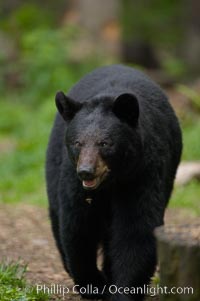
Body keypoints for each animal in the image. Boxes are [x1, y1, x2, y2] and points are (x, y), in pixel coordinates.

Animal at [46, 64, 182, 298]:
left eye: (105, 143)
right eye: (77, 143)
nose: (86, 172)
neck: (110, 183)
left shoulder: (142, 174)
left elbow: (135, 230)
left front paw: (121, 290)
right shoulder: (74, 182)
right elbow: (78, 227)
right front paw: (93, 285)